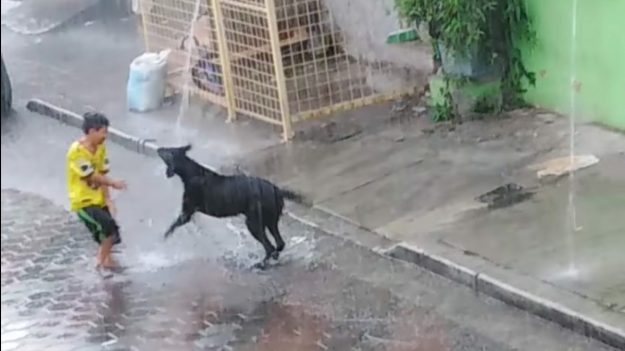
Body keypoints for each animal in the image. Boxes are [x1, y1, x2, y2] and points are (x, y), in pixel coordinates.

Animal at [157, 145, 306, 270]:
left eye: (167, 151)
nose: (159, 148)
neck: (191, 173)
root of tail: (277, 189)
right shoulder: (188, 214)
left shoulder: (186, 213)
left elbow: (171, 227)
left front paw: (161, 241)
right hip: (270, 221)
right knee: (279, 244)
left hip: (253, 223)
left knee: (270, 247)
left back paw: (260, 264)